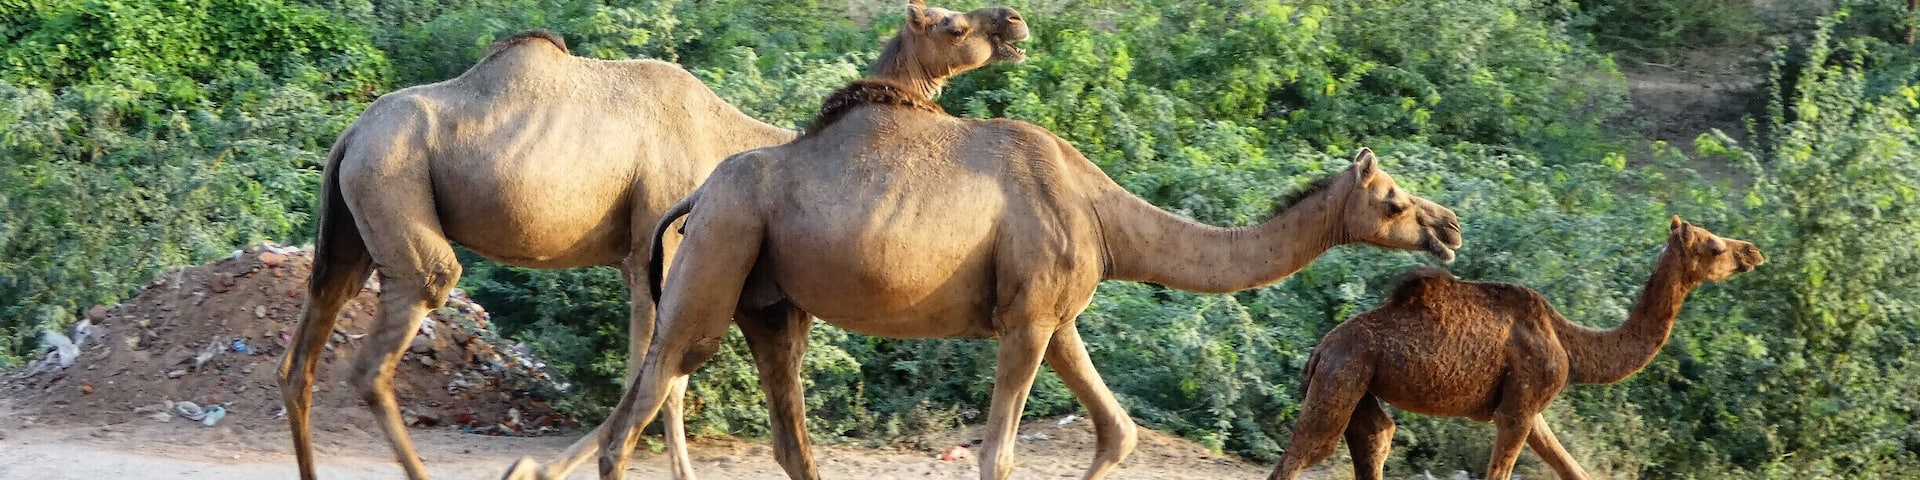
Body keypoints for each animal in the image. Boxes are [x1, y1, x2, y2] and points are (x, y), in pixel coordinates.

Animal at [277, 4, 1029, 479]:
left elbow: (662, 373)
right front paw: (532, 467)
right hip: (393, 182)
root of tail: (349, 134)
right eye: (953, 22)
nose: (1015, 20)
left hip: (349, 223)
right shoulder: (654, 243)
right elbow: (653, 363)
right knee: (392, 332)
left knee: (306, 347)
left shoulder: (647, 251)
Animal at [580, 58, 1462, 479]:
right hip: (721, 246)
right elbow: (998, 453)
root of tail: (700, 190)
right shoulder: (1026, 321)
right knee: (648, 393)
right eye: (1390, 199)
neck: (1102, 211)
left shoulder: (1056, 318)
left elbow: (1119, 431)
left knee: (786, 425)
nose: (1447, 227)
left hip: (769, 296)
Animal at [1266, 216, 1765, 480]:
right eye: (1715, 246)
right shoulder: (1519, 406)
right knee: (1307, 449)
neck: (1572, 344)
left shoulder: (1531, 406)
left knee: (1375, 438)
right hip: (1344, 373)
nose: (1753, 252)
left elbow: (1571, 467)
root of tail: (1318, 351)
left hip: (1360, 383)